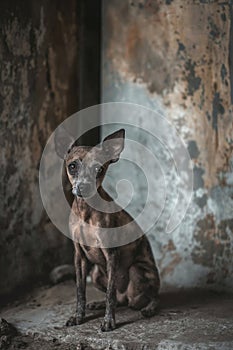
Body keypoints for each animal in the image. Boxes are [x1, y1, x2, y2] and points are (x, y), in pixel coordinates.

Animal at [56, 128, 160, 330]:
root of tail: (127, 297)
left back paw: (150, 308)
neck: (85, 212)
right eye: (72, 166)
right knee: (119, 299)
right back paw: (98, 303)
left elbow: (110, 293)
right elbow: (80, 291)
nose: (83, 187)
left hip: (137, 271)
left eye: (99, 169)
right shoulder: (79, 257)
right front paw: (78, 316)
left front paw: (109, 321)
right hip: (96, 273)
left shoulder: (111, 254)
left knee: (149, 296)